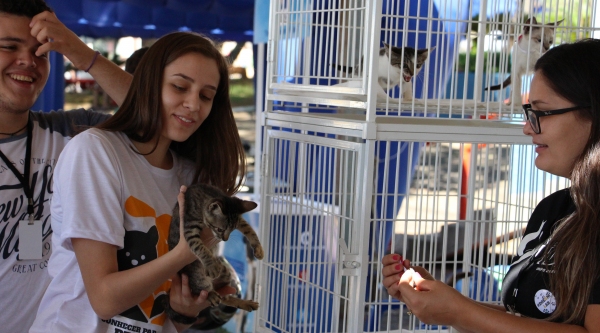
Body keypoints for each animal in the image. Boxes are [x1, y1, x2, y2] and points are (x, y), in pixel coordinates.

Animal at [163, 183, 264, 320]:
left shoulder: (239, 219)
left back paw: (246, 303)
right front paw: (211, 266)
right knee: (201, 291)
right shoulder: (189, 227)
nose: (225, 239)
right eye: (219, 229)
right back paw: (210, 294)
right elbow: (199, 246)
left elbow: (249, 229)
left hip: (226, 272)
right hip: (197, 276)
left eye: (232, 230)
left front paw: (258, 248)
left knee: (224, 298)